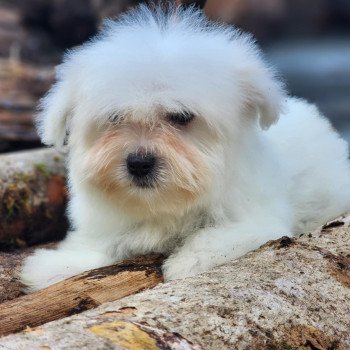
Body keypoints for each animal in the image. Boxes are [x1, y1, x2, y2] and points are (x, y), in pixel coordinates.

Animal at [20, 4, 350, 292]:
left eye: (181, 117)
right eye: (114, 117)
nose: (139, 163)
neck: (164, 206)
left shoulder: (257, 221)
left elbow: (221, 238)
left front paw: (188, 262)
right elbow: (101, 245)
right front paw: (58, 266)